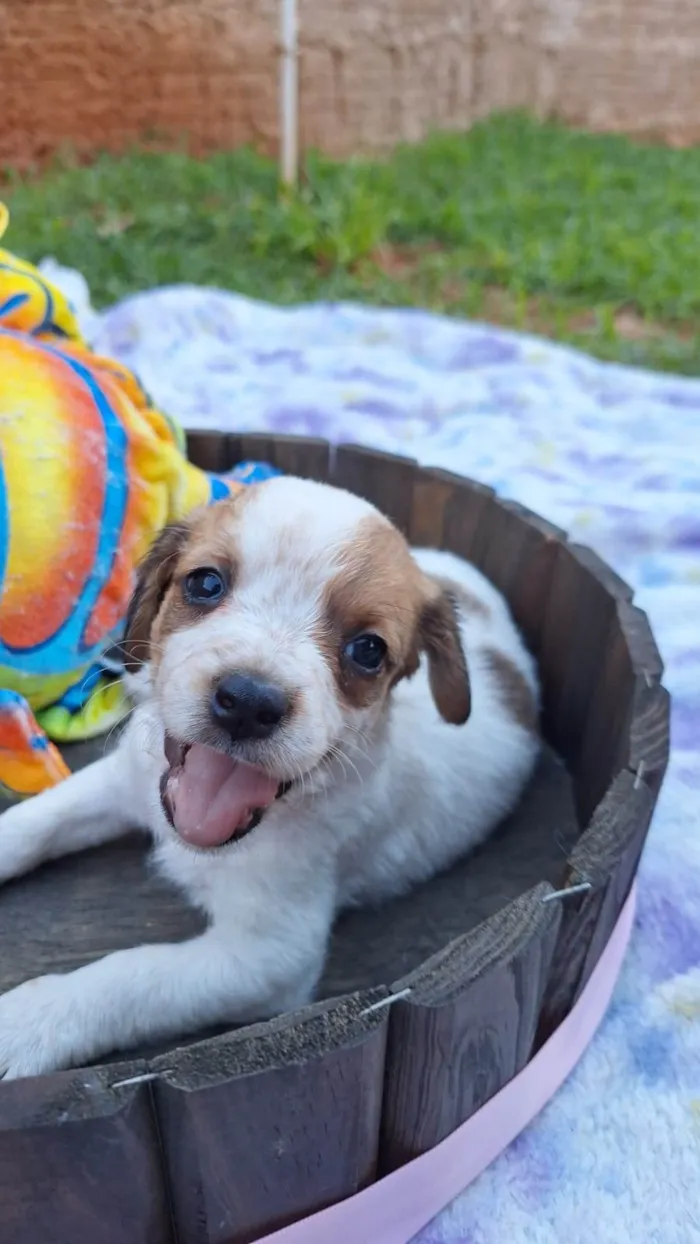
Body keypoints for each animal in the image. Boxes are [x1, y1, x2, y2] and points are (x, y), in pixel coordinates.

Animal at [0, 475, 542, 1079]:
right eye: (205, 583)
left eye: (368, 650)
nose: (248, 703)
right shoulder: (122, 782)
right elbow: (33, 824)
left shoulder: (267, 956)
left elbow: (129, 975)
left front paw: (23, 1024)